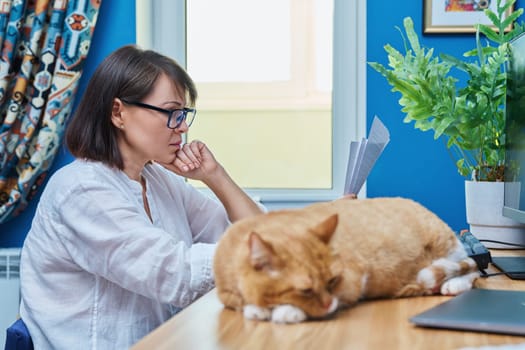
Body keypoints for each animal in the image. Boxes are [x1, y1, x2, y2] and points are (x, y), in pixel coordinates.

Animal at [212, 198, 478, 324]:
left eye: (332, 281)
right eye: (306, 289)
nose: (328, 304)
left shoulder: (353, 280)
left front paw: (287, 311)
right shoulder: (227, 294)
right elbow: (242, 304)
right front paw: (258, 309)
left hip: (448, 248)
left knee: (473, 272)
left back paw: (452, 285)